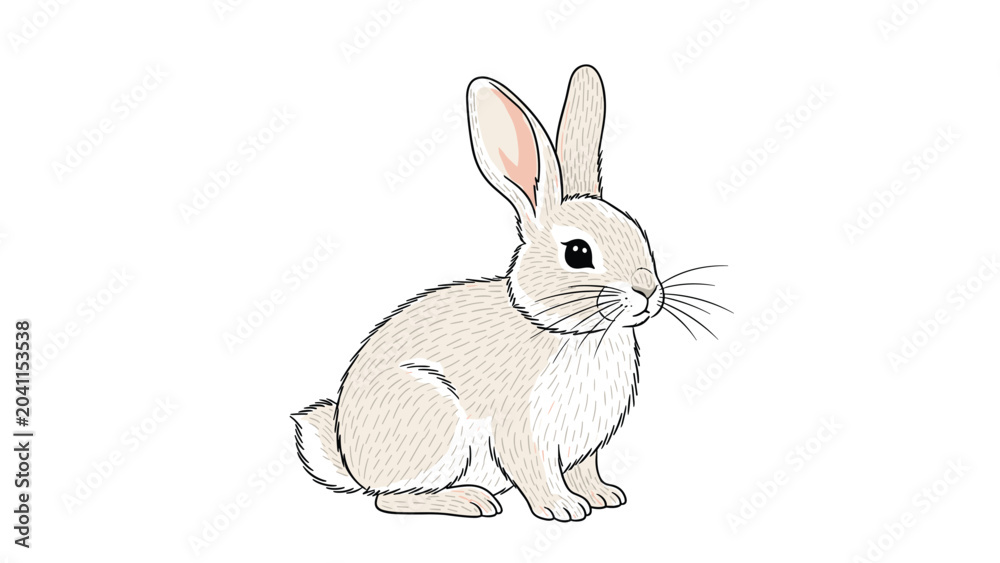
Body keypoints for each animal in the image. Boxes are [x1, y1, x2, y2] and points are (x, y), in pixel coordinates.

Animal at [292, 65, 706, 521]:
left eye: (640, 234)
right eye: (578, 253)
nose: (647, 290)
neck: (571, 332)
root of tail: (351, 462)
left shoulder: (583, 446)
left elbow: (585, 471)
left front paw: (603, 496)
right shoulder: (520, 429)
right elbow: (535, 474)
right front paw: (563, 508)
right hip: (434, 420)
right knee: (390, 498)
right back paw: (470, 500)